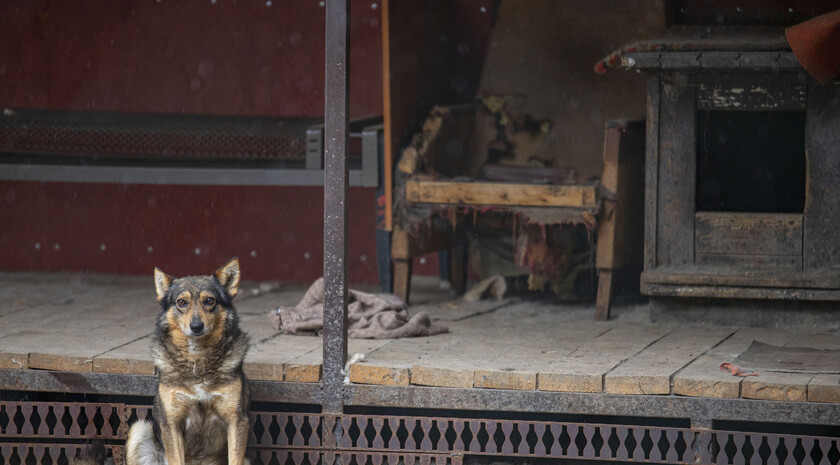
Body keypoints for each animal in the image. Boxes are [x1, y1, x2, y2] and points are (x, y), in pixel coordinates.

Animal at [124, 258, 251, 464]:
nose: (196, 326)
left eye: (209, 301)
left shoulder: (237, 420)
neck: (197, 360)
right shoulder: (171, 423)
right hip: (139, 428)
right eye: (181, 302)